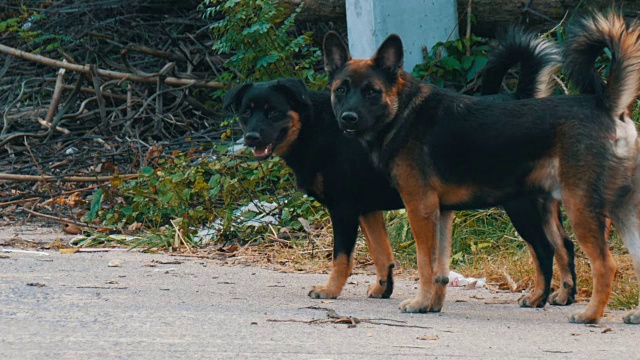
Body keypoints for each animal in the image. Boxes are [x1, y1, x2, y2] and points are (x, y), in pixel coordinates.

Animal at [324, 12, 640, 324]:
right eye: (341, 90)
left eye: (372, 92)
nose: (348, 118)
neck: (403, 111)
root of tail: (606, 106)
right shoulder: (441, 213)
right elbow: (439, 269)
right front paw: (432, 304)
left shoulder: (420, 208)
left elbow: (425, 263)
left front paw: (419, 302)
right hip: (616, 210)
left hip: (579, 209)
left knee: (604, 264)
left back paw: (590, 314)